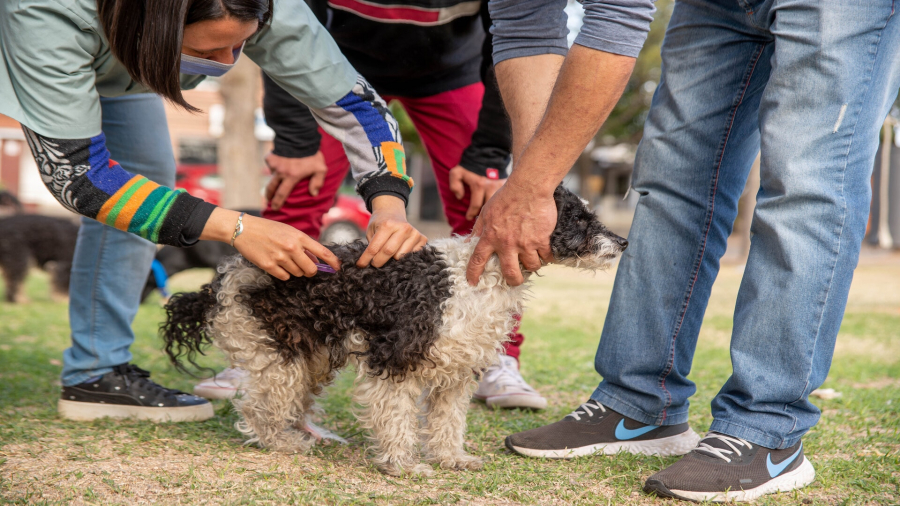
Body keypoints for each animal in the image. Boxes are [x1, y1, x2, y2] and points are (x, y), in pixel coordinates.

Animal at [160, 185, 624, 474]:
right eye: (578, 219)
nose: (623, 242)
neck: (478, 276)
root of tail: (220, 283)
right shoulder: (396, 360)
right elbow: (397, 417)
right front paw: (402, 465)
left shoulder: (459, 371)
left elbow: (448, 421)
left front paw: (451, 458)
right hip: (279, 361)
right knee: (258, 409)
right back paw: (282, 443)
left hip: (310, 359)